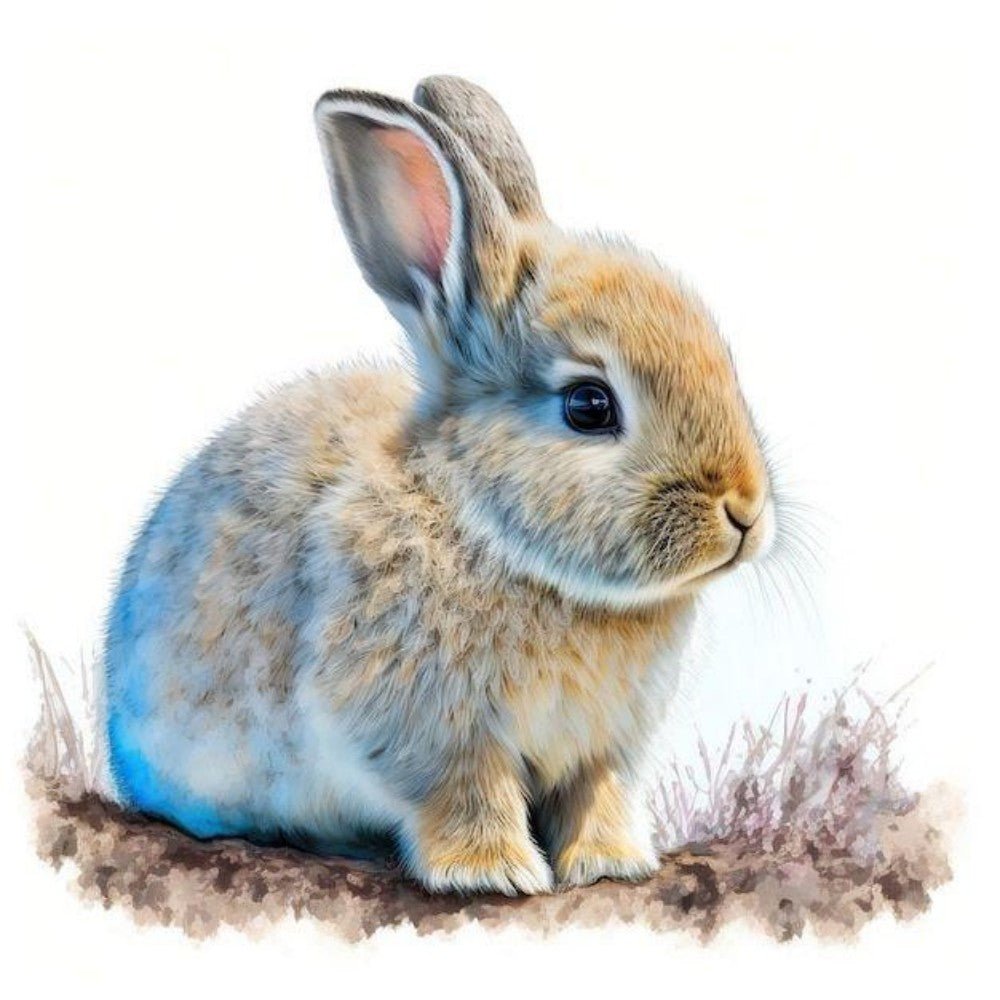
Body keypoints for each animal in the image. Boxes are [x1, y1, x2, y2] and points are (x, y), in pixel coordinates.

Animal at [103, 75, 776, 895]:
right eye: (589, 405)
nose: (744, 512)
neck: (485, 527)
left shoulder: (600, 747)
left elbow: (598, 796)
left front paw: (612, 864)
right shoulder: (427, 729)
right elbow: (465, 793)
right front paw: (493, 874)